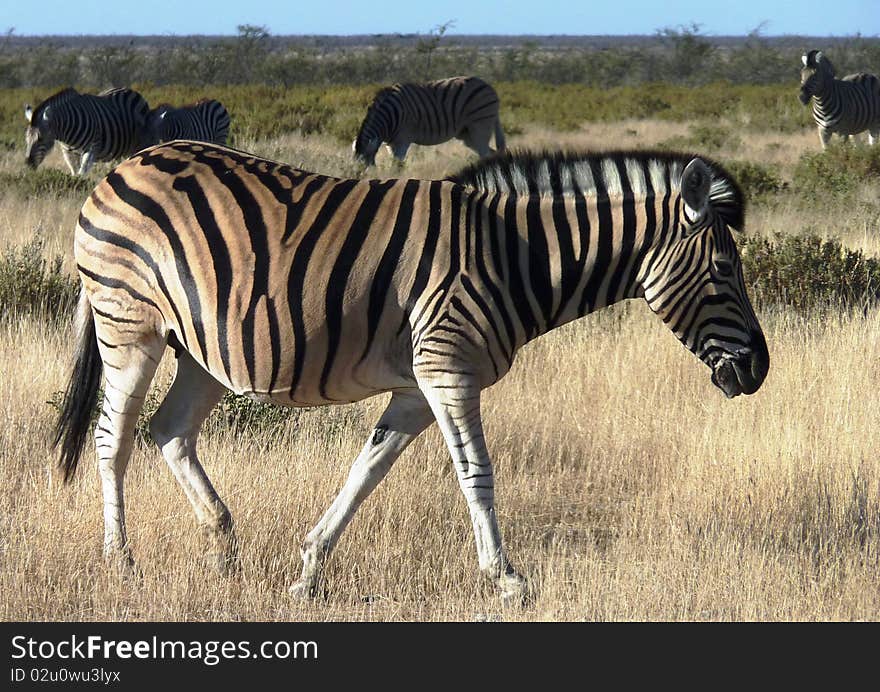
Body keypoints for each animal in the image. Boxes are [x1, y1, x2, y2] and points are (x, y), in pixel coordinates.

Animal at [22, 86, 150, 176]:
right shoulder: (68, 152)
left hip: (136, 145)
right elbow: (74, 173)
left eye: (41, 139)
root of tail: (128, 89)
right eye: (26, 140)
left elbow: (82, 173)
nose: (28, 164)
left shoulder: (92, 148)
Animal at [56, 139, 768, 600]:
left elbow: (368, 469)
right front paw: (506, 579)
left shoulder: (421, 385)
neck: (513, 256)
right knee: (113, 439)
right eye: (725, 269)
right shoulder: (447, 366)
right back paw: (121, 563)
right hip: (129, 324)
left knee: (170, 430)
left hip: (197, 348)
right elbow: (477, 473)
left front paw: (308, 569)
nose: (759, 372)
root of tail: (122, 165)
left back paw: (224, 544)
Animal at [348, 75, 502, 166]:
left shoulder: (402, 140)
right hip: (466, 134)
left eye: (364, 165)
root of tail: (489, 87)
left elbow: (397, 165)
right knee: (493, 153)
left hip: (480, 125)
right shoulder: (389, 144)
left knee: (485, 154)